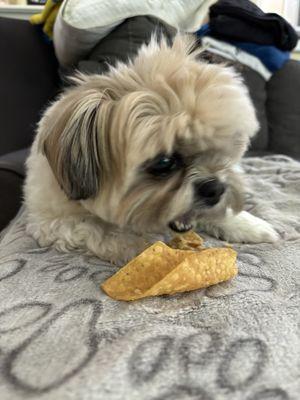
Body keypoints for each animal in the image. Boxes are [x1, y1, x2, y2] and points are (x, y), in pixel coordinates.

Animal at [23, 35, 278, 266]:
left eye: (224, 149)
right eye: (164, 163)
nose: (215, 187)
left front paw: (246, 224)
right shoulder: (52, 224)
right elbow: (100, 231)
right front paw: (145, 250)